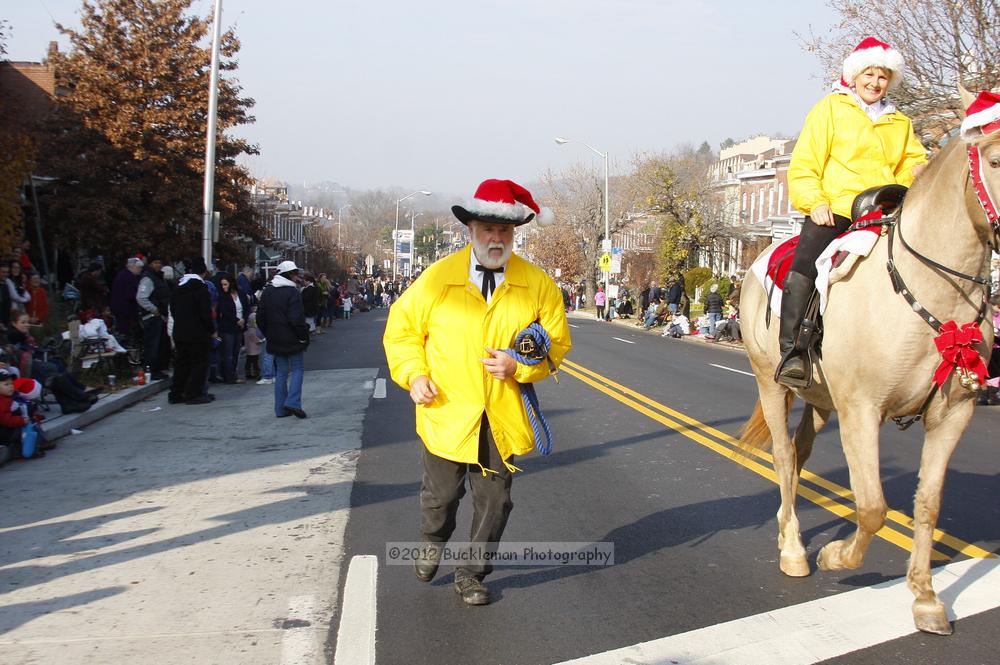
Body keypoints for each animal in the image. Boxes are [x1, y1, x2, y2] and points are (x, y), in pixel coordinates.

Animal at [740, 85, 996, 636]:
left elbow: (927, 504)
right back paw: (794, 550)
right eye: (992, 158)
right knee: (783, 456)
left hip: (820, 398)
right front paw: (836, 557)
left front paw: (926, 599)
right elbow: (874, 506)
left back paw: (787, 531)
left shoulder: (953, 415)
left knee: (799, 455)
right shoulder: (862, 411)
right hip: (771, 383)